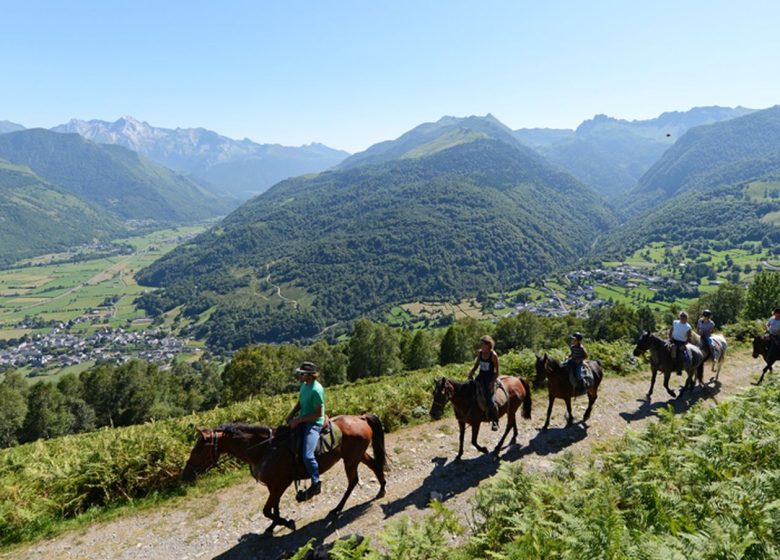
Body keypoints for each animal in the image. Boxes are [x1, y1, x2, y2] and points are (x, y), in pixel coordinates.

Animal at [184, 414, 390, 536]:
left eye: (198, 449)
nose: (185, 475)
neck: (264, 449)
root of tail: (360, 417)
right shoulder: (273, 486)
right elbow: (274, 509)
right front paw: (273, 526)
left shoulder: (280, 484)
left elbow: (267, 510)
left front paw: (287, 523)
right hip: (356, 456)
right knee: (373, 465)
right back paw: (381, 489)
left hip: (350, 460)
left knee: (353, 481)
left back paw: (337, 509)